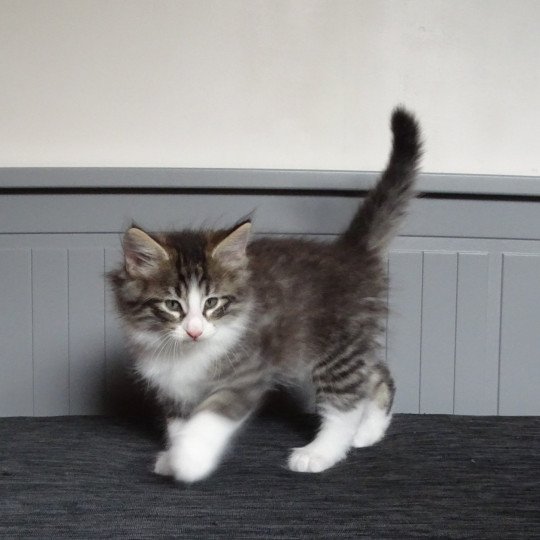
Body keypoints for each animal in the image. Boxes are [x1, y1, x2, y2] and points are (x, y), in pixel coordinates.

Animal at [108, 107, 422, 484]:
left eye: (212, 303)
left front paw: (190, 461)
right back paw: (369, 432)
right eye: (173, 305)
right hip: (339, 346)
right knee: (377, 374)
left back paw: (321, 452)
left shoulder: (247, 372)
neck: (185, 354)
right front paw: (175, 455)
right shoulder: (174, 389)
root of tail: (349, 251)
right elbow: (181, 426)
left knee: (345, 403)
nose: (195, 331)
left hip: (334, 347)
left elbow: (210, 418)